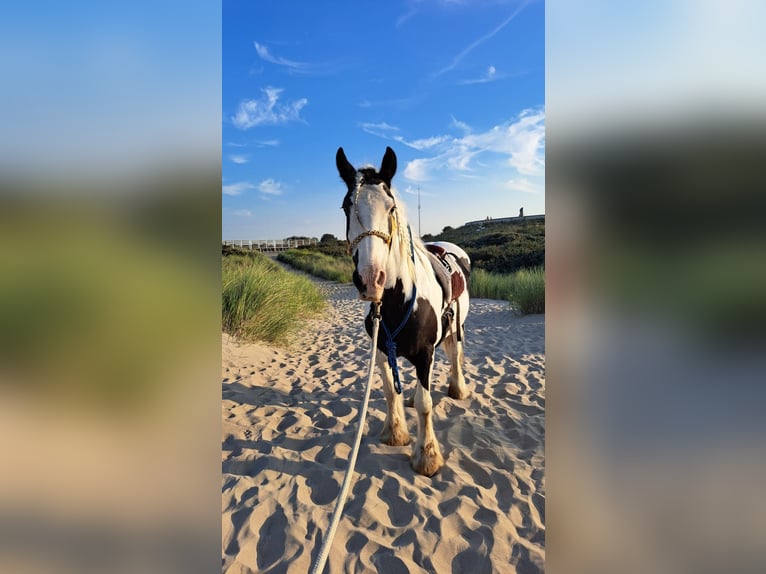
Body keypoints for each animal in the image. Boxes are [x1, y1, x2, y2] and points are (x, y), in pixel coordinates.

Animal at [338, 147, 474, 476]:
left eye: (391, 208)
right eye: (347, 206)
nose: (371, 279)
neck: (397, 303)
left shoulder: (425, 352)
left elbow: (426, 404)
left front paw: (427, 456)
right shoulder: (381, 350)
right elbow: (390, 391)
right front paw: (395, 433)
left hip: (456, 329)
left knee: (455, 357)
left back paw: (457, 389)